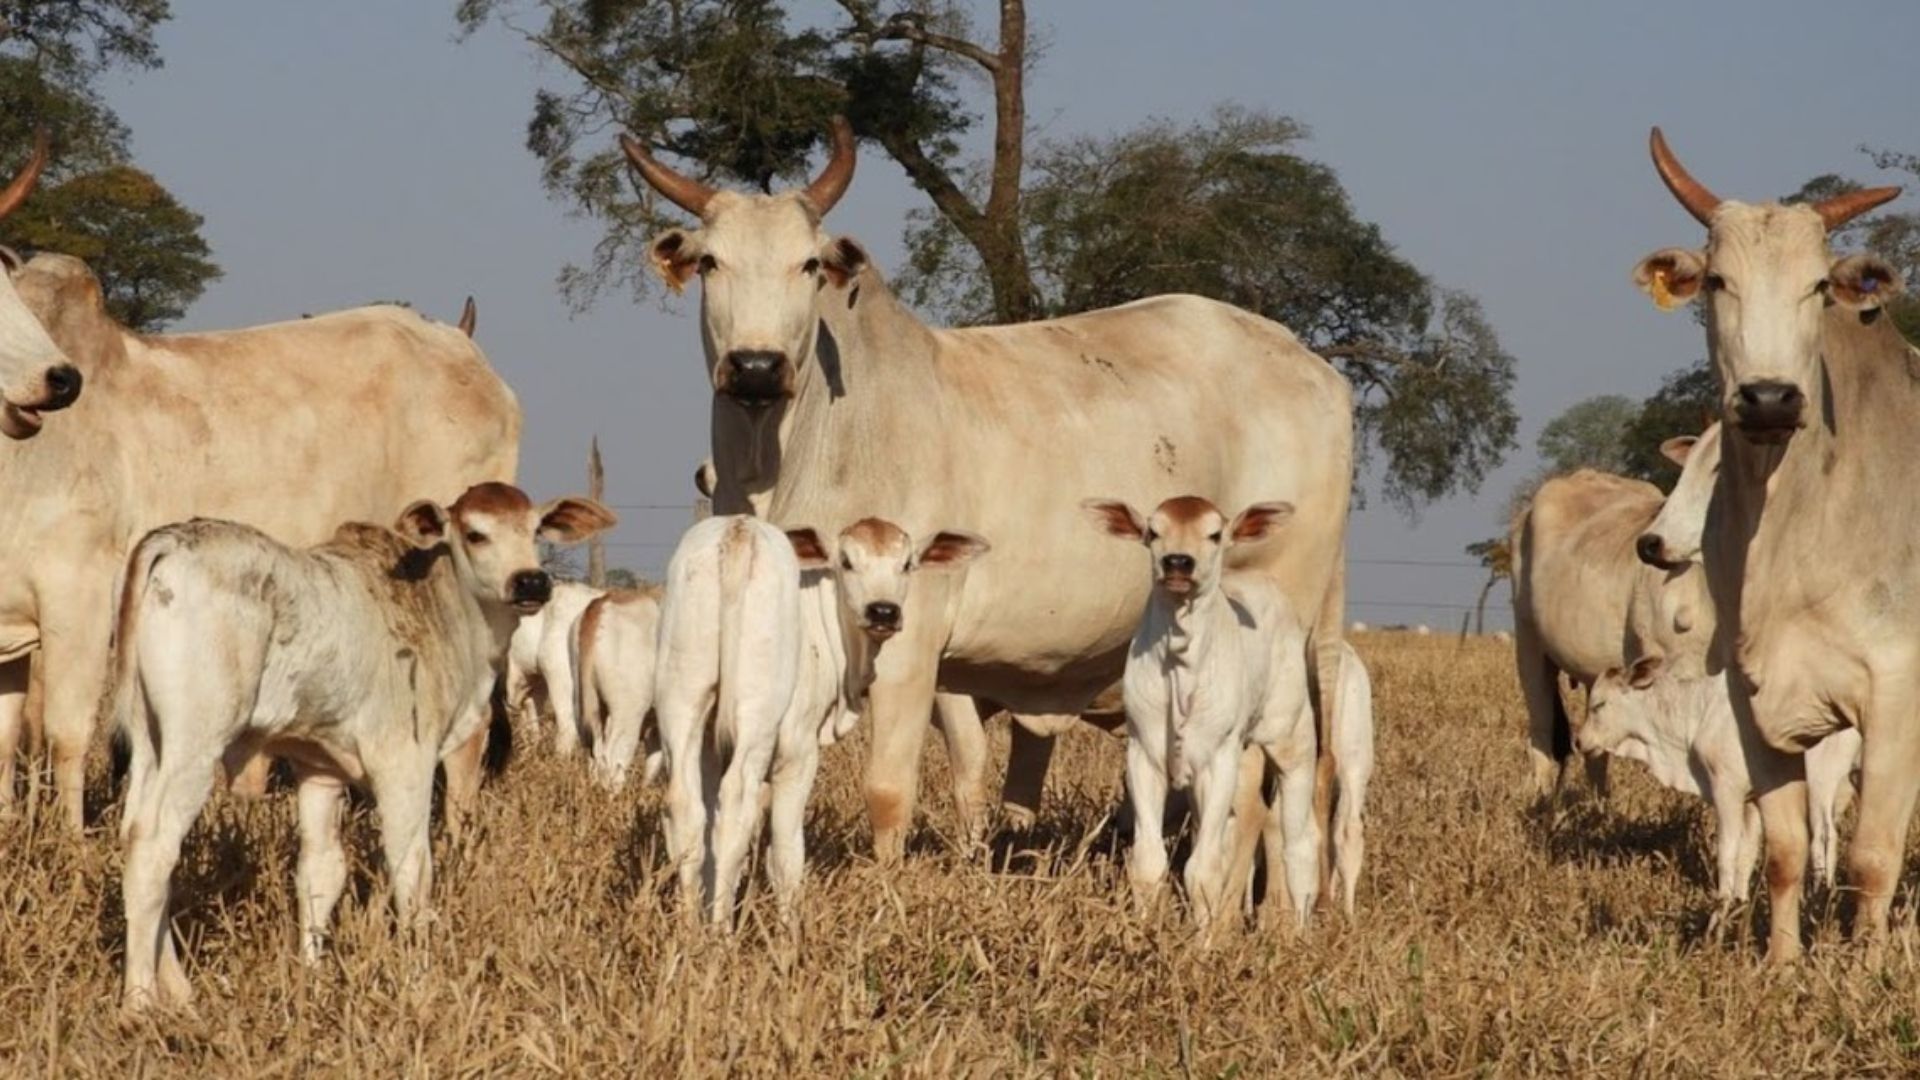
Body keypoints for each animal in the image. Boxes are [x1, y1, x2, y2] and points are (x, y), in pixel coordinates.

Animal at [0, 252, 518, 830]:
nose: (59, 383)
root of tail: (467, 355)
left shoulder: (78, 600)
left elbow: (64, 733)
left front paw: (68, 835)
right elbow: (8, 737)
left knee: (473, 728)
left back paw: (458, 829)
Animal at [621, 117, 1353, 868]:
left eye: (809, 266)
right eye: (711, 263)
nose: (757, 368)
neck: (795, 449)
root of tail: (1314, 366)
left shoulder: (911, 637)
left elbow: (889, 788)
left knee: (1261, 783)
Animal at [653, 515, 988, 927]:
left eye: (907, 563)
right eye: (846, 561)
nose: (883, 611)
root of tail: (740, 531)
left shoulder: (711, 752)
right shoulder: (798, 750)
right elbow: (784, 854)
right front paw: (787, 933)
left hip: (683, 701)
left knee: (684, 808)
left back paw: (690, 931)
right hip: (758, 719)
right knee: (737, 807)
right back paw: (721, 934)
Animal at [1632, 127, 1908, 959]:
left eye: (1818, 287)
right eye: (1718, 281)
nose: (1769, 399)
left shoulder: (1896, 692)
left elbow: (1870, 857)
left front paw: (1867, 967)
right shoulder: (1752, 696)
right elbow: (1782, 850)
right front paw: (1783, 963)